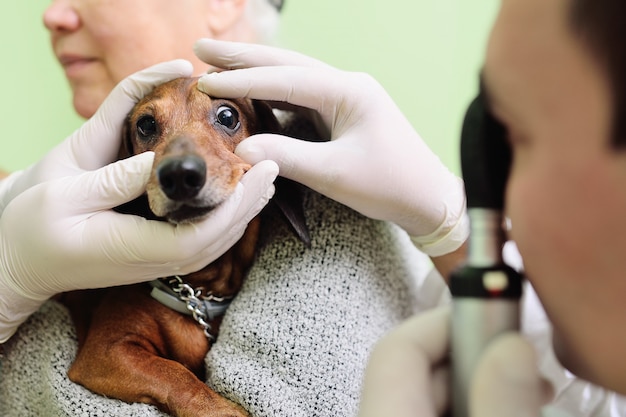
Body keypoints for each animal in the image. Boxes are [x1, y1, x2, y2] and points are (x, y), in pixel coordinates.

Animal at [59, 77, 308, 416]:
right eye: (146, 124)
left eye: (228, 116)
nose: (179, 174)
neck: (198, 291)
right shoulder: (106, 350)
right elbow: (174, 374)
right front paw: (222, 410)